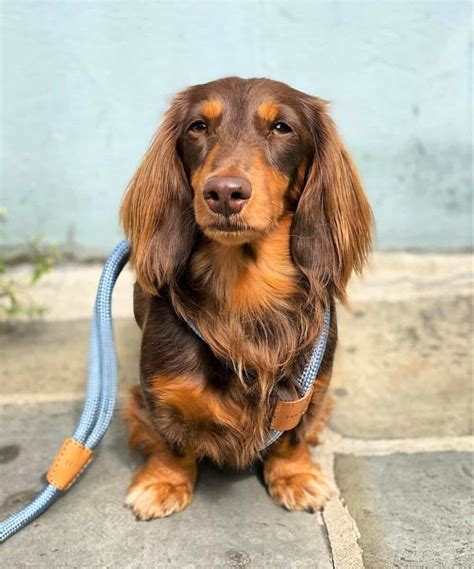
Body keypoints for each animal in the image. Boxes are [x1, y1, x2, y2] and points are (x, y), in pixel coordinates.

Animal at [120, 76, 372, 520]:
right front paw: (163, 482)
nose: (224, 193)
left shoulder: (309, 388)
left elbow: (292, 434)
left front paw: (294, 475)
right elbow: (171, 439)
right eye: (198, 127)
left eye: (282, 128)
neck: (245, 288)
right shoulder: (156, 391)